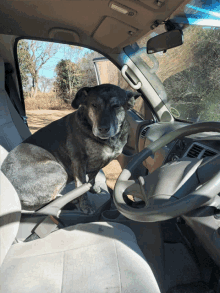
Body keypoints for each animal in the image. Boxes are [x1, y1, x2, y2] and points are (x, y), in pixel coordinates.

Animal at [1, 83, 139, 213]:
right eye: (94, 105)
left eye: (116, 106)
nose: (103, 128)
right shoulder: (79, 161)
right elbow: (82, 186)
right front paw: (85, 205)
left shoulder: (98, 163)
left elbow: (92, 179)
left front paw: (93, 189)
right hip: (59, 171)